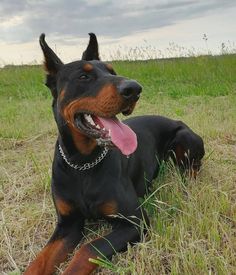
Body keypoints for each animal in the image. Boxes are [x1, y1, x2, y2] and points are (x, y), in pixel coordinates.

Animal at [24, 33, 205, 275]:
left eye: (112, 71)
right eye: (83, 76)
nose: (135, 89)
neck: (83, 164)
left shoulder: (135, 221)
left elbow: (88, 248)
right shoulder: (67, 225)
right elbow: (39, 261)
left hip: (184, 139)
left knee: (193, 167)